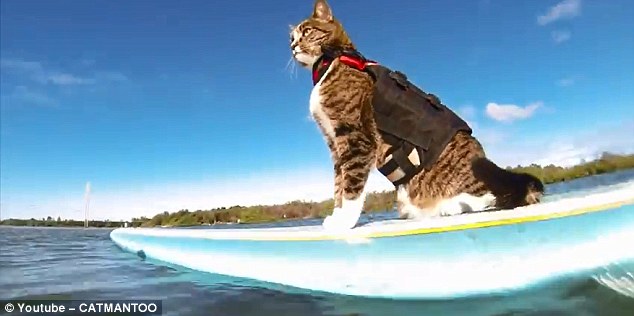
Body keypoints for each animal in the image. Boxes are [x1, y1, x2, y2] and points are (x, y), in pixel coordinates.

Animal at [288, 0, 540, 232]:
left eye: (306, 31)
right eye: (292, 37)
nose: (292, 46)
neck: (334, 58)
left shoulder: (355, 137)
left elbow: (351, 184)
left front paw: (344, 221)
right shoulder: (334, 142)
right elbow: (339, 184)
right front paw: (336, 214)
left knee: (491, 197)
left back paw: (451, 205)